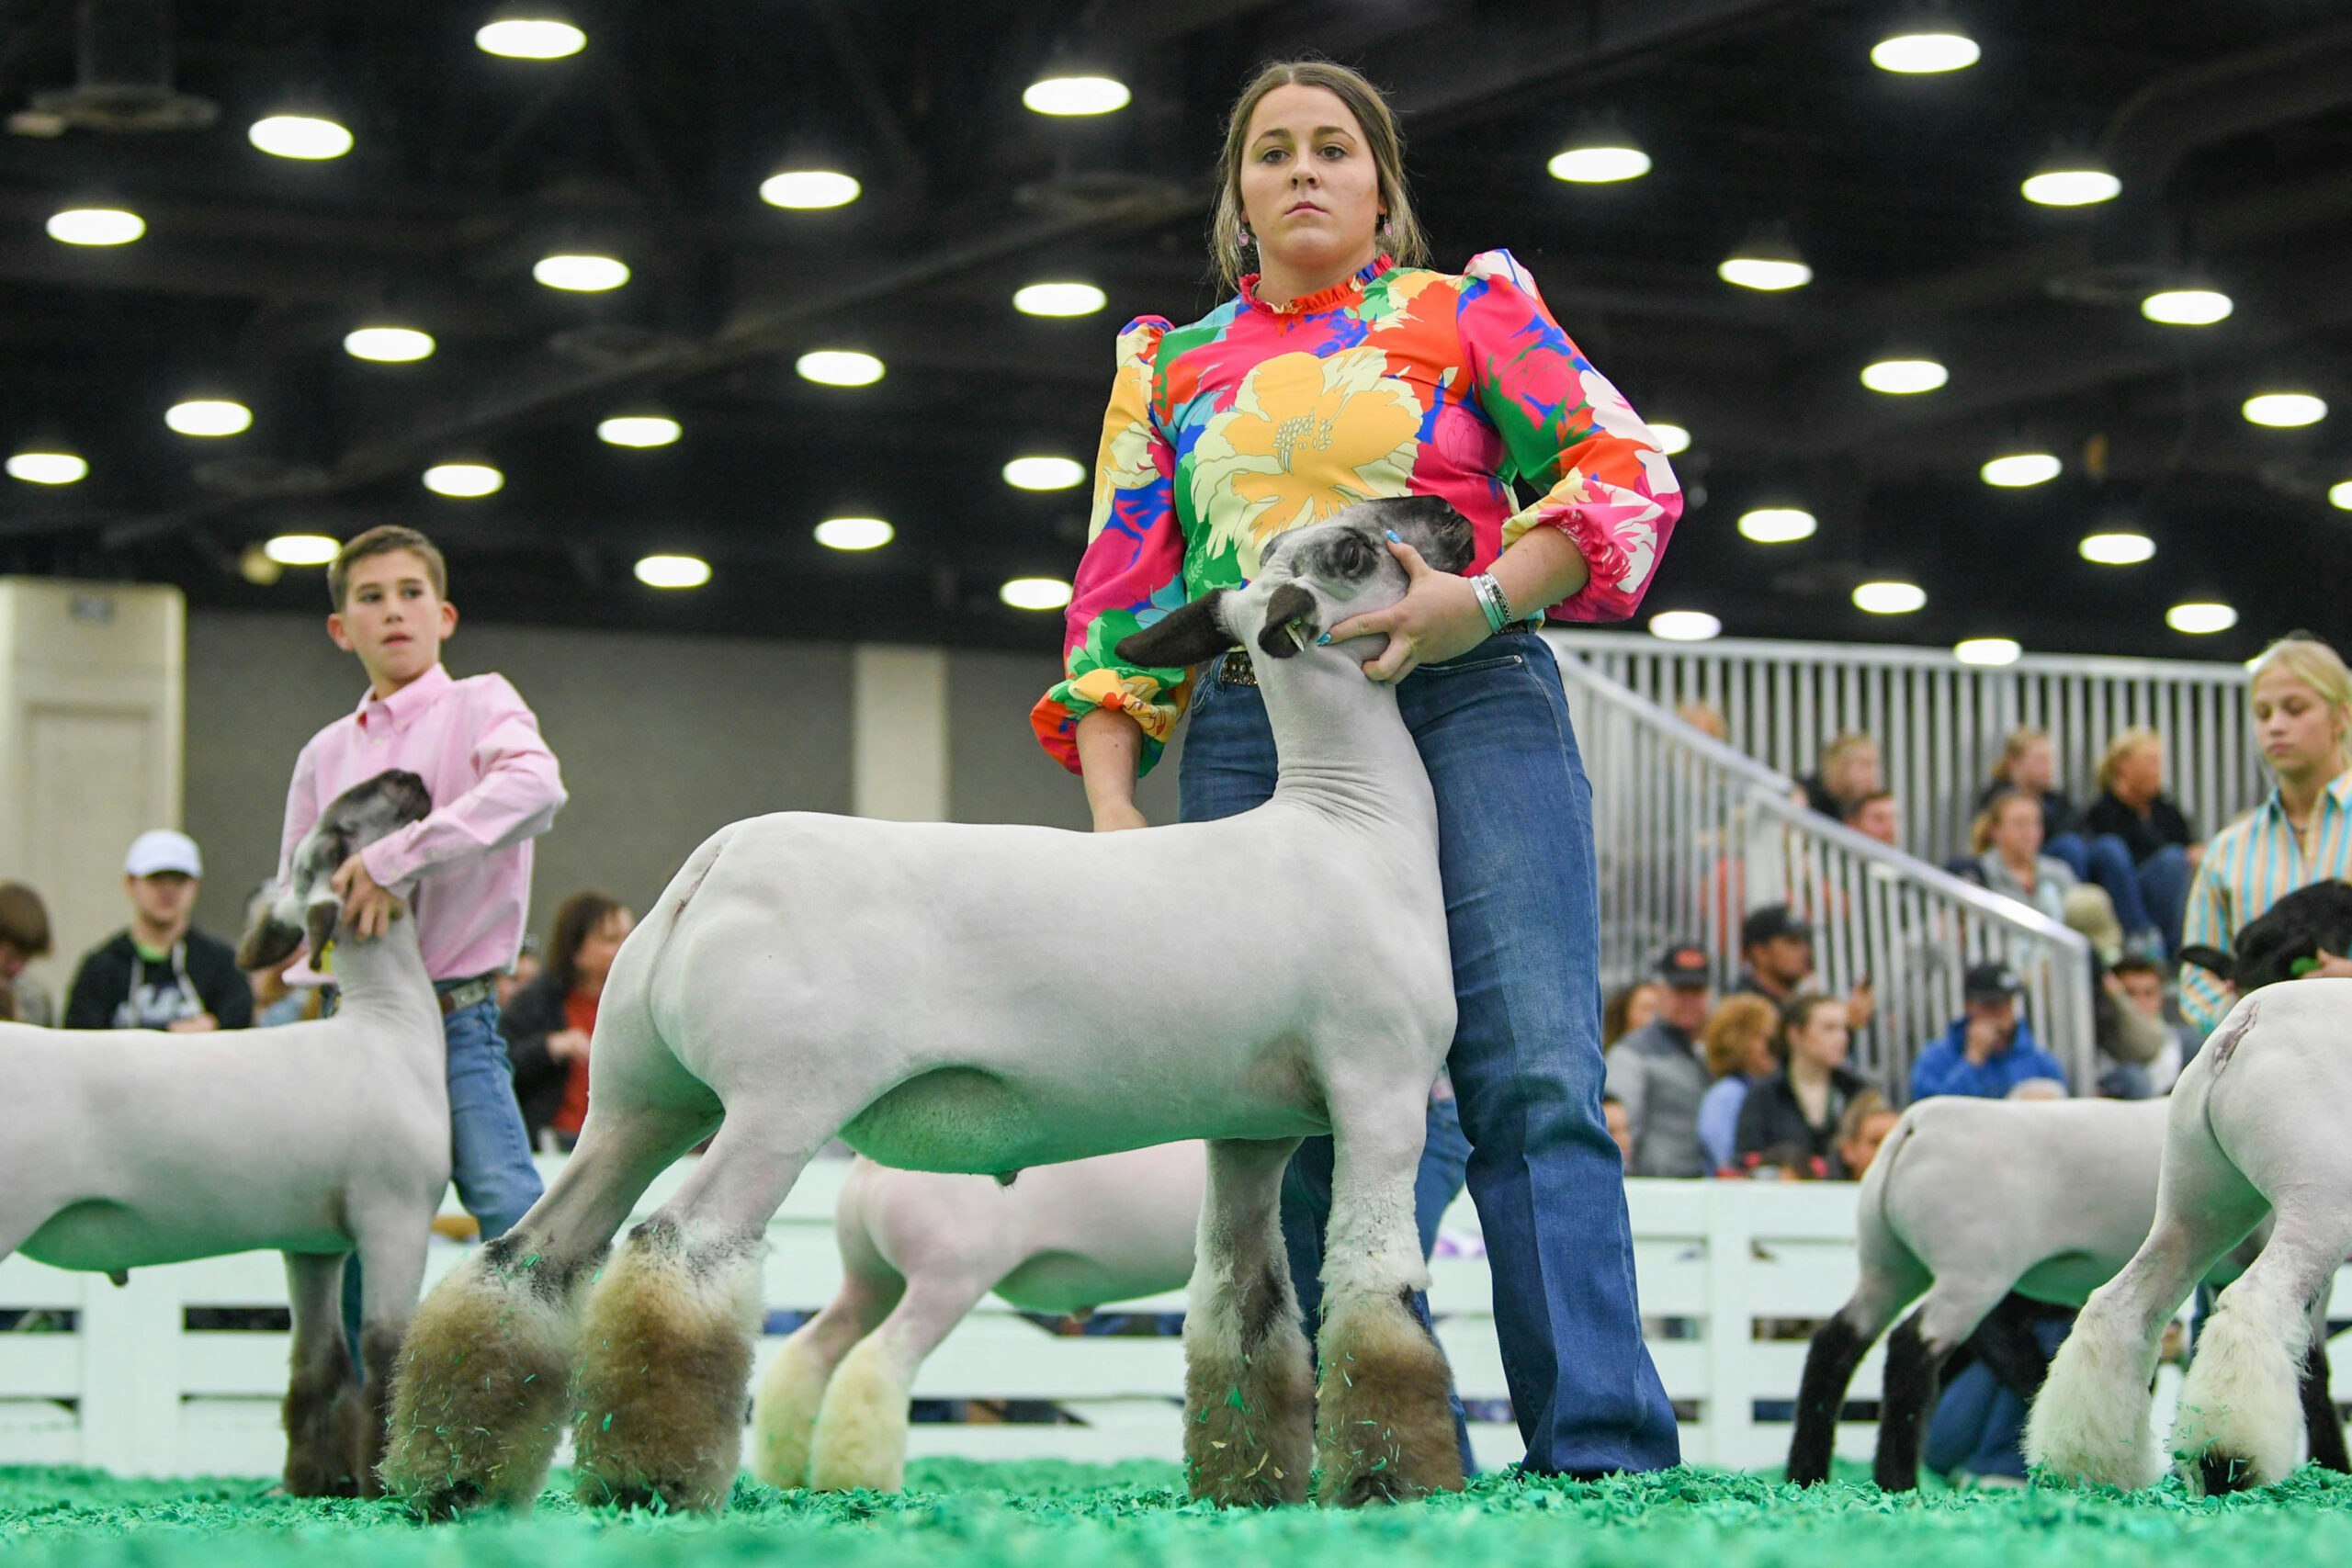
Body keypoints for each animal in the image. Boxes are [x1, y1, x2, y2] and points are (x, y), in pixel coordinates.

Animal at [0, 771, 447, 1495]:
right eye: (342, 830)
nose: (407, 777)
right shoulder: (397, 1215)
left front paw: (314, 1483)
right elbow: (385, 1353)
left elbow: (317, 1363)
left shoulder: (312, 1243)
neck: (387, 1025)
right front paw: (384, 1483)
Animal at [742, 1142, 1204, 1495]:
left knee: (810, 1352)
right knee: (880, 1359)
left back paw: (786, 1472)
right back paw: (858, 1479)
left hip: (871, 1280)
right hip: (948, 1279)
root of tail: (873, 1165)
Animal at [1787, 1100, 2342, 1495]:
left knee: (1836, 1342)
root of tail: (1915, 1124)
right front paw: (2336, 1466)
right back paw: (1897, 1483)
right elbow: (2315, 1370)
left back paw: (1807, 1474)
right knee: (1911, 1349)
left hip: (1888, 1266)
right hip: (1971, 1273)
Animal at [2022, 982, 2352, 1495]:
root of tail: (2250, 1019)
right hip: (2321, 1202)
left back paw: (2086, 1466)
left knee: (2118, 1308)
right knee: (2255, 1301)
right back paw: (2228, 1459)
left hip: (2196, 1208)